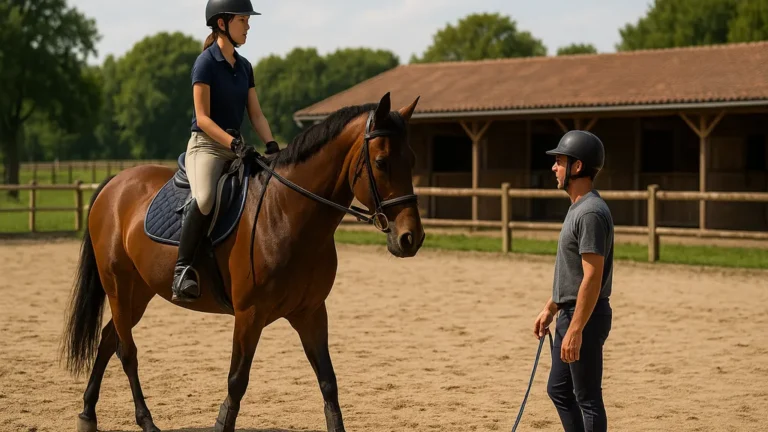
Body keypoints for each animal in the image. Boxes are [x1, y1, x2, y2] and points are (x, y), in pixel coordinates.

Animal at [60, 92, 425, 432]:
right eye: (381, 162)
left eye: (411, 159)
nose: (411, 238)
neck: (286, 212)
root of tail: (115, 182)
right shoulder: (249, 314)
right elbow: (237, 381)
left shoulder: (311, 311)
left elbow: (328, 381)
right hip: (119, 286)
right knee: (127, 351)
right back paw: (145, 420)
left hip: (139, 291)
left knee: (109, 338)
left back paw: (87, 414)